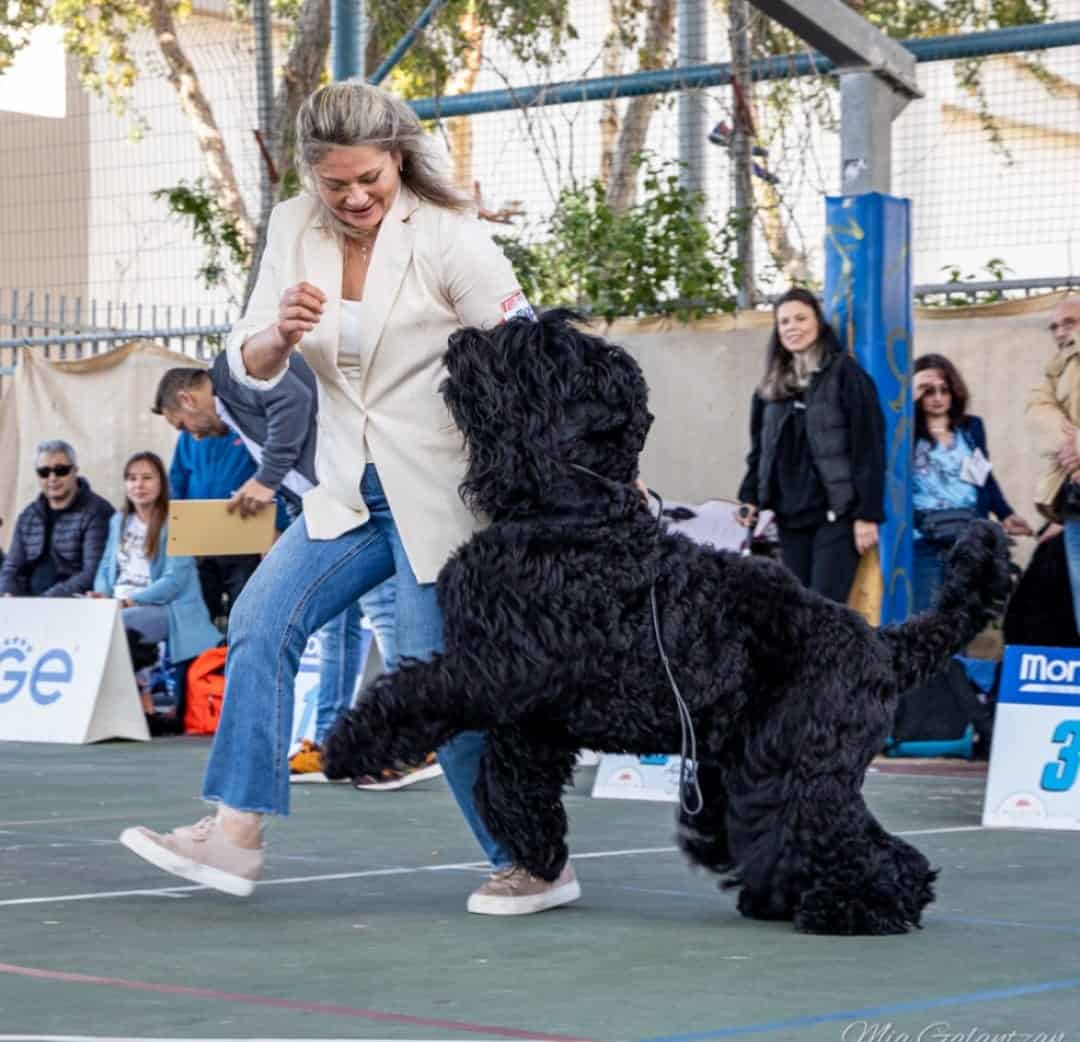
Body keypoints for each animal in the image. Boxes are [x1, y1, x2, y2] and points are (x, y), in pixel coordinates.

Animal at [321, 308, 1010, 937]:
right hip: (753, 766)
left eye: (543, 355)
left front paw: (349, 744)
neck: (573, 513)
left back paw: (860, 906)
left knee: (851, 838)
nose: (466, 338)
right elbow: (511, 778)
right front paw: (538, 847)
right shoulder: (534, 709)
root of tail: (880, 642)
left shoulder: (499, 669)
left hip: (801, 766)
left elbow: (414, 692)